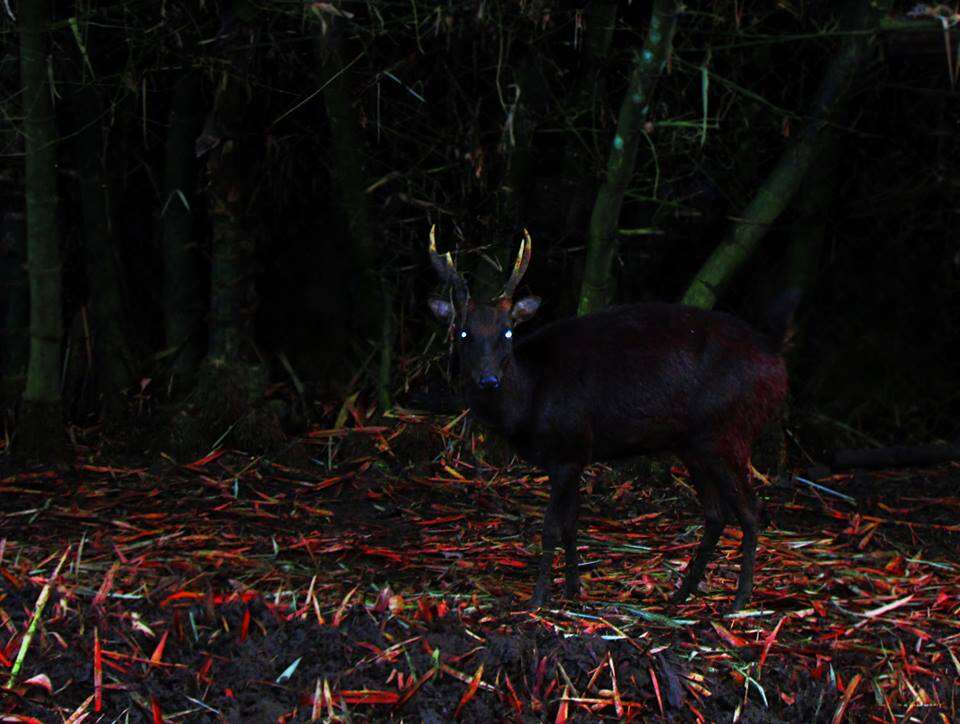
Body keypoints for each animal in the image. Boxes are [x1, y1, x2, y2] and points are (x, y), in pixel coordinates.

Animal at [426, 226, 796, 612]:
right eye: (463, 332)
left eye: (508, 332)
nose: (488, 380)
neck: (529, 401)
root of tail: (775, 356)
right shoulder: (575, 454)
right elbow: (571, 525)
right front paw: (573, 590)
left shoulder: (567, 447)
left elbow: (550, 527)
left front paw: (539, 599)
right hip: (694, 444)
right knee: (715, 513)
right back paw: (681, 594)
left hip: (728, 431)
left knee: (751, 510)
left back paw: (740, 599)